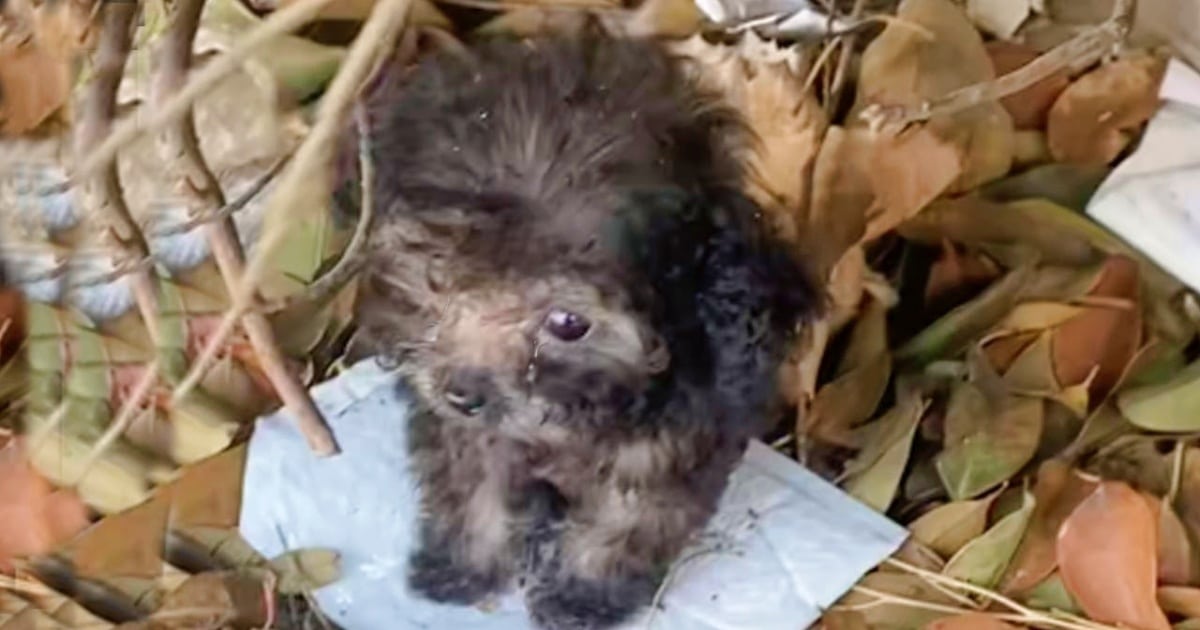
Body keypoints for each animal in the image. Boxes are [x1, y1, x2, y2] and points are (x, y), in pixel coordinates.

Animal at [350, 29, 820, 628]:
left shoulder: (674, 440)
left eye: (569, 323)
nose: (462, 393)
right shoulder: (463, 431)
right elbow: (470, 483)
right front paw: (461, 566)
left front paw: (582, 596)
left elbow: (629, 518)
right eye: (439, 277)